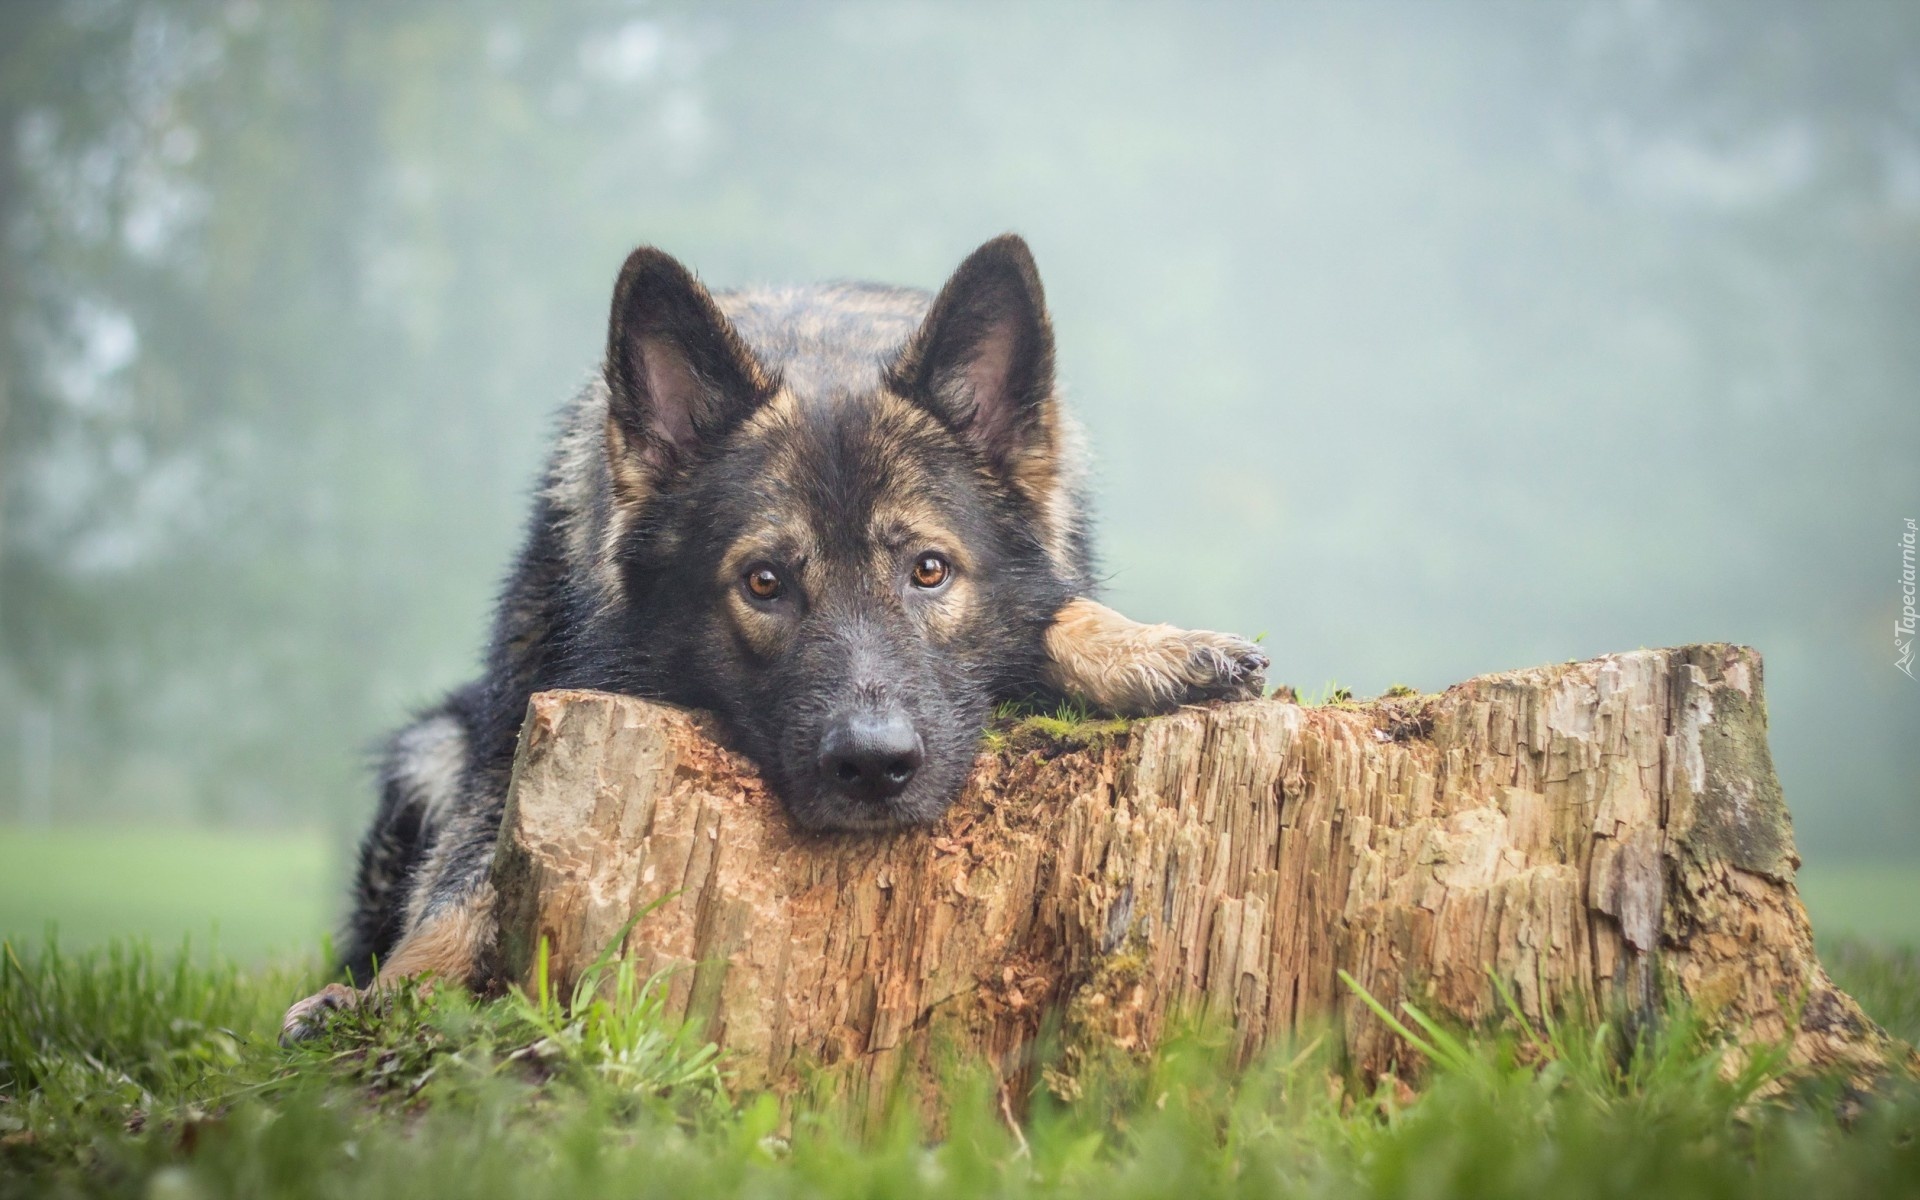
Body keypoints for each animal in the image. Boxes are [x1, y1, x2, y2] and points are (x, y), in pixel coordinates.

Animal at [280, 234, 1274, 1036]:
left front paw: (1148, 647)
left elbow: (1063, 611)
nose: (874, 767)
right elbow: (459, 888)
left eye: (929, 571)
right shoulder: (509, 740)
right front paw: (387, 995)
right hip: (428, 748)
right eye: (765, 583)